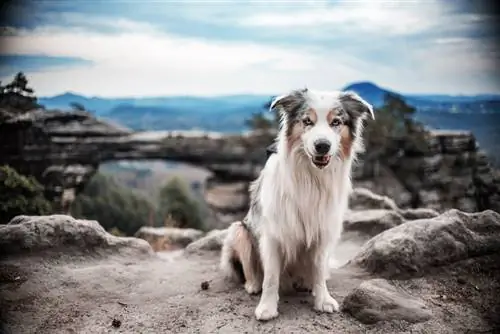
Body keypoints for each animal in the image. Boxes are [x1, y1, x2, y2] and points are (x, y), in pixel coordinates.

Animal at [221, 87, 374, 320]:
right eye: (307, 121)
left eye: (336, 122)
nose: (322, 146)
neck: (311, 177)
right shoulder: (273, 233)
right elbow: (271, 276)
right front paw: (267, 307)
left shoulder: (323, 230)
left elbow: (318, 270)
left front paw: (323, 300)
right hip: (238, 230)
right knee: (250, 269)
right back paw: (253, 285)